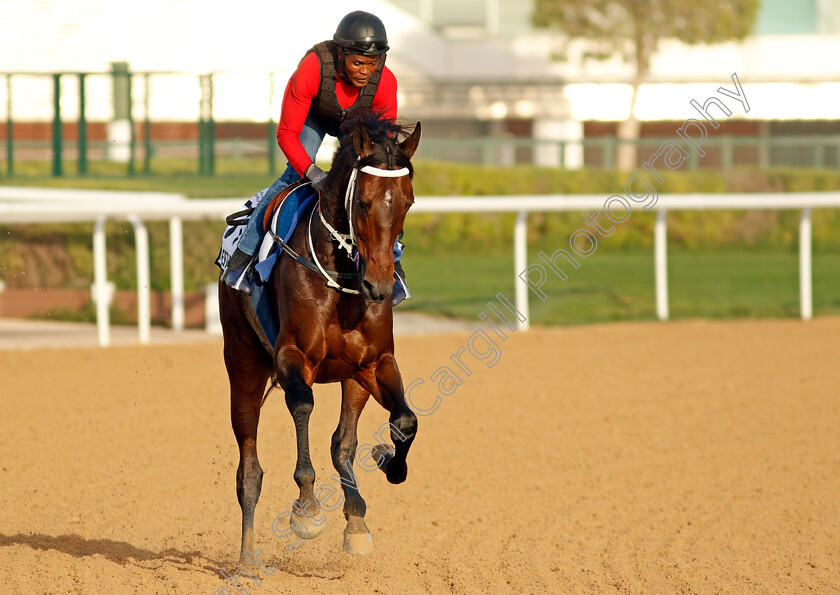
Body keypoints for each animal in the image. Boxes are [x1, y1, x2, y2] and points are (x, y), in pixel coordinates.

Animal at [220, 114, 424, 560]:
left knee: (341, 443)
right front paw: (307, 509)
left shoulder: (375, 362)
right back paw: (246, 560)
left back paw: (357, 520)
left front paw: (388, 460)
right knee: (249, 470)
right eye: (362, 202)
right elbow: (302, 405)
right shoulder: (292, 357)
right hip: (243, 364)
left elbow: (404, 420)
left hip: (353, 377)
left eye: (408, 202)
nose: (379, 286)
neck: (343, 275)